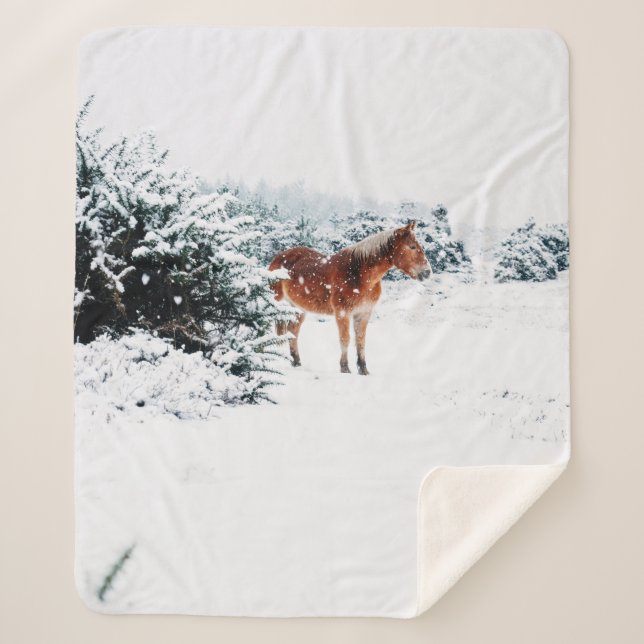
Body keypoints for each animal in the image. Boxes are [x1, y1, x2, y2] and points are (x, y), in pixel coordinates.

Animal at [268, 220, 432, 375]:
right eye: (412, 247)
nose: (427, 272)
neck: (359, 274)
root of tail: (278, 258)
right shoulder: (343, 312)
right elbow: (345, 338)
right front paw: (345, 368)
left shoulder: (364, 313)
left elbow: (360, 340)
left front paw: (363, 369)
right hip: (276, 303)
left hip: (298, 308)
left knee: (293, 331)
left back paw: (296, 362)